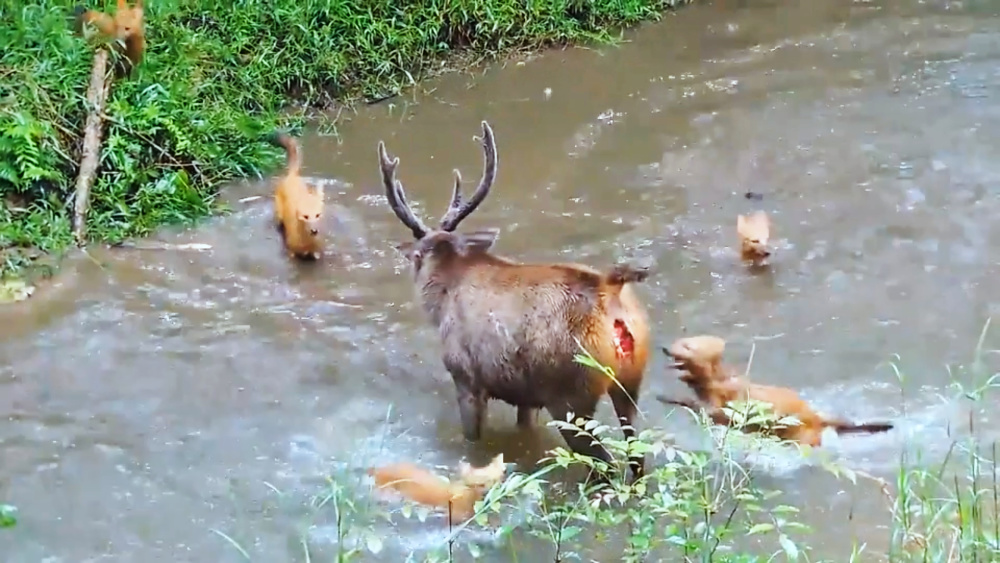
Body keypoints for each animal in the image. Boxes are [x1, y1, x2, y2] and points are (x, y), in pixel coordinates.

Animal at [268, 133, 326, 262]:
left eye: (318, 215)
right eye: (305, 216)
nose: (314, 231)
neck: (307, 243)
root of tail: (292, 175)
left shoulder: (317, 253)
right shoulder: (291, 252)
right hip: (279, 214)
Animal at [378, 121, 652, 482]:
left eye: (417, 259)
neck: (444, 293)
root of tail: (611, 290)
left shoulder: (465, 376)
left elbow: (473, 438)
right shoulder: (526, 396)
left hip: (571, 395)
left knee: (604, 464)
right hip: (630, 382)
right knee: (637, 456)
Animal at [656, 334, 892, 450]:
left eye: (687, 346)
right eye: (678, 341)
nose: (665, 347)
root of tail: (816, 417)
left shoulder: (724, 401)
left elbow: (710, 410)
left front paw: (667, 396)